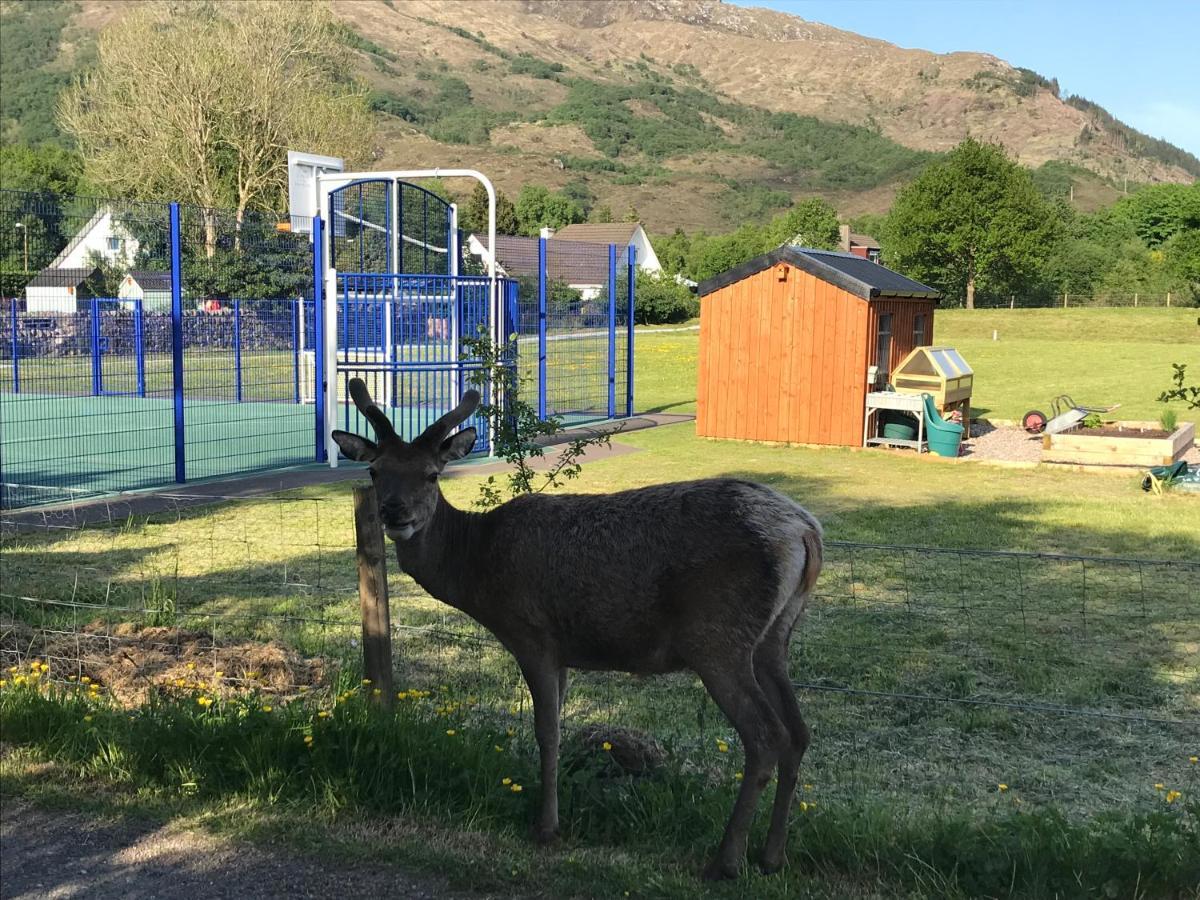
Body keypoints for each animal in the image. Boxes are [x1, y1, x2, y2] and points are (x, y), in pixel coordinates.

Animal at [338, 381, 825, 883]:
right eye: (376, 470)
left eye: (432, 475)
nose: (394, 512)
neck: (476, 568)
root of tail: (806, 531)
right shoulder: (565, 652)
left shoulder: (532, 634)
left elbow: (547, 731)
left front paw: (546, 827)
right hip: (774, 637)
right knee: (799, 733)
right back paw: (771, 855)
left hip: (717, 638)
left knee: (766, 735)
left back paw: (726, 860)